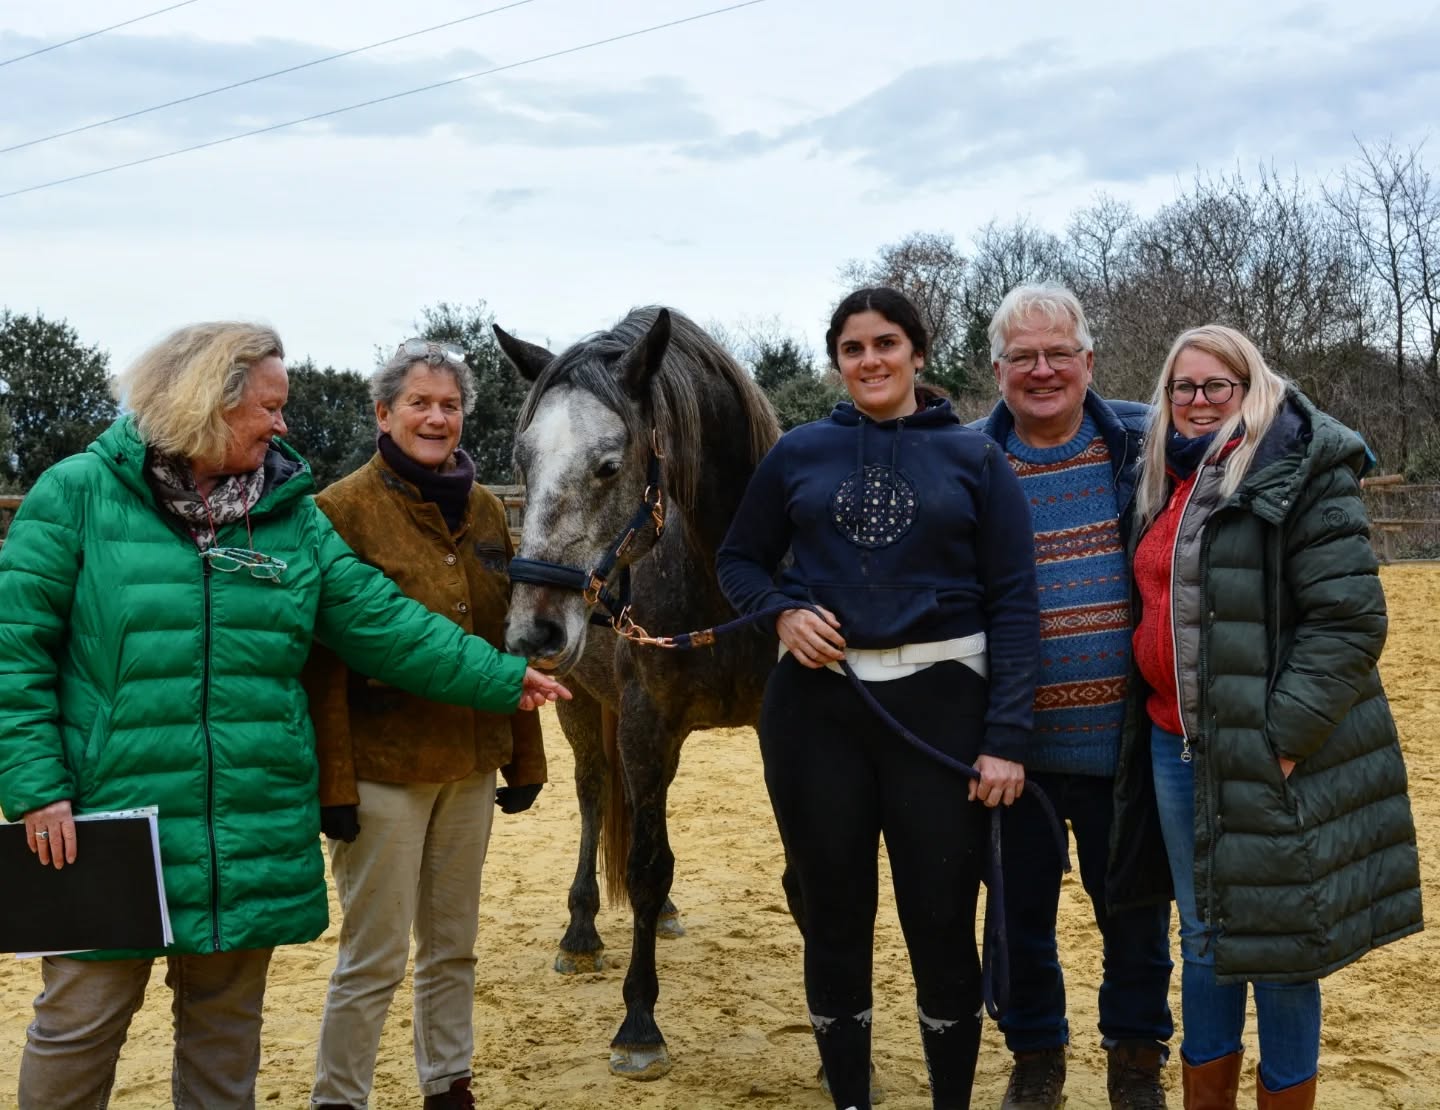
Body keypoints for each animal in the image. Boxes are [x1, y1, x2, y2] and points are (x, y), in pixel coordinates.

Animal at [494, 306, 784, 1079]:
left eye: (608, 464)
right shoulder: (644, 725)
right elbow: (646, 864)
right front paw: (639, 1027)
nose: (532, 630)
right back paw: (581, 934)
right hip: (589, 713)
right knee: (597, 796)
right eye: (522, 463)